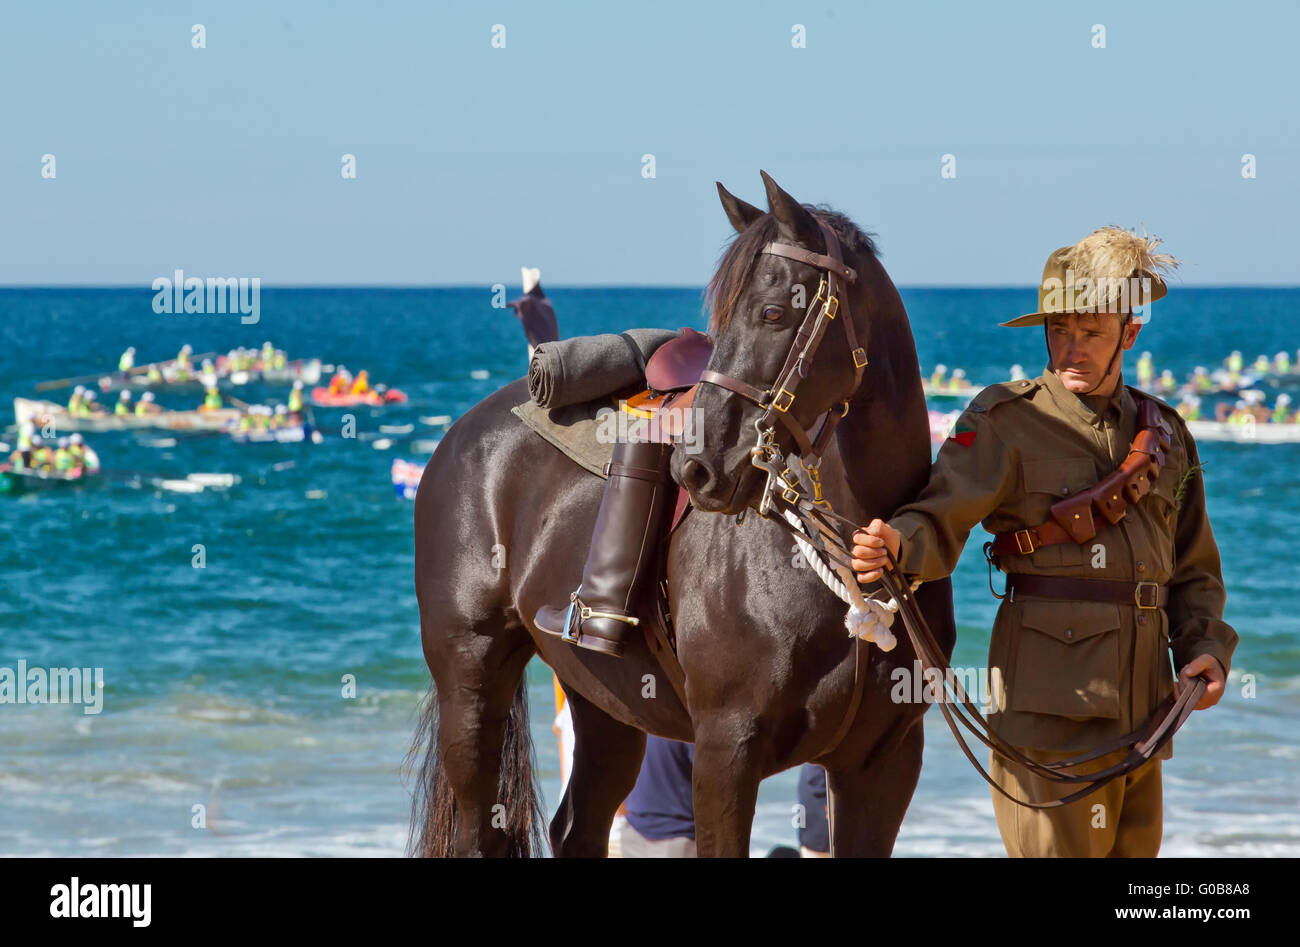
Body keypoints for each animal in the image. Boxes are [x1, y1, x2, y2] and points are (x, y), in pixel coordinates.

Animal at [405, 171, 956, 858]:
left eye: (773, 313)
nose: (694, 468)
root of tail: (459, 436)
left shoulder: (883, 763)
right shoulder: (726, 751)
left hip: (605, 703)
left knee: (577, 825)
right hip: (471, 683)